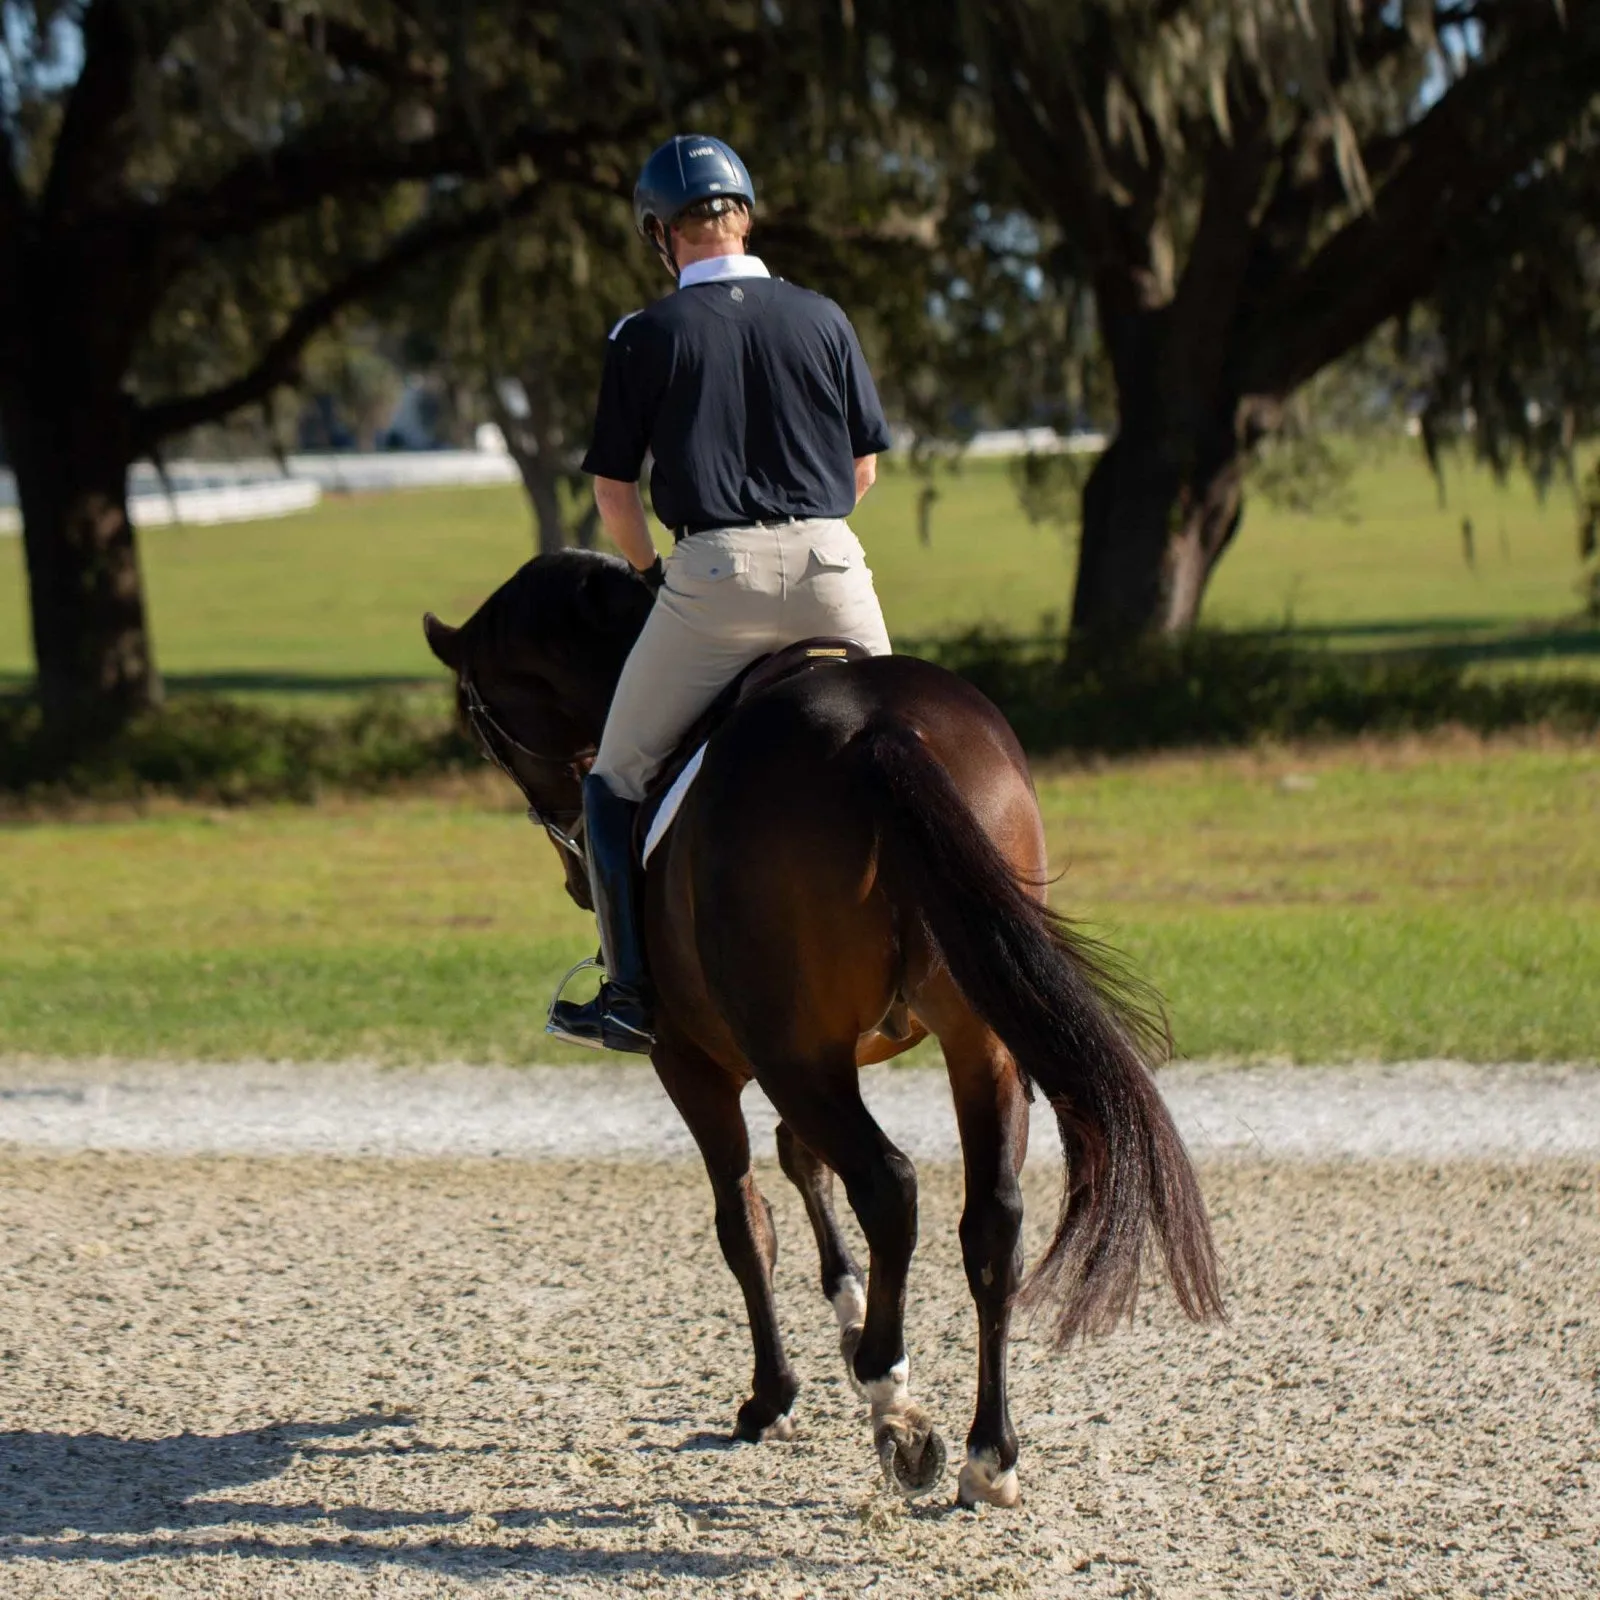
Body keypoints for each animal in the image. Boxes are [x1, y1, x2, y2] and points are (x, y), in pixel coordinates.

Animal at [419, 547, 1216, 1497]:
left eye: (484, 729)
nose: (576, 869)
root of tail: (880, 732)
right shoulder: (833, 1051)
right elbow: (803, 1162)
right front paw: (846, 1304)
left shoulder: (700, 1062)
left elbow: (743, 1220)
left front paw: (775, 1396)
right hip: (974, 1043)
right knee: (992, 1216)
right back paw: (988, 1450)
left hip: (794, 1054)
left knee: (890, 1185)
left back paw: (894, 1400)